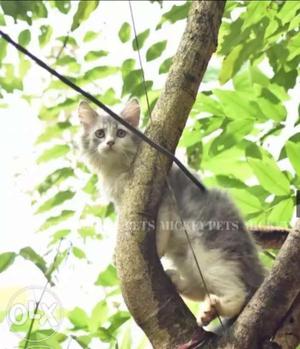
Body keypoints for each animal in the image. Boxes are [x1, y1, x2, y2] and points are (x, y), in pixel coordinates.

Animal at [78, 98, 264, 326]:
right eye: (100, 133)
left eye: (121, 133)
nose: (110, 143)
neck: (119, 169)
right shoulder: (125, 205)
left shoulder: (165, 196)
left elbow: (160, 231)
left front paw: (156, 248)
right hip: (187, 259)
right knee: (199, 287)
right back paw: (179, 284)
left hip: (208, 253)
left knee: (238, 292)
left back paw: (215, 308)